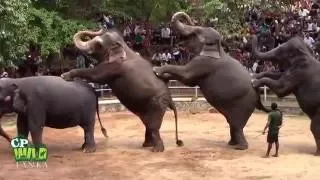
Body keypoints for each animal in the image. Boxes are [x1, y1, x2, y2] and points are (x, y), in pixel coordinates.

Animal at [152, 11, 270, 150]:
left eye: (197, 31)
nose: (191, 20)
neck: (219, 48)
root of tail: (258, 94)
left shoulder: (204, 63)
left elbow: (187, 77)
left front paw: (156, 70)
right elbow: (188, 80)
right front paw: (162, 76)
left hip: (244, 105)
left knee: (237, 125)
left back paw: (240, 147)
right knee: (232, 124)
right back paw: (231, 144)